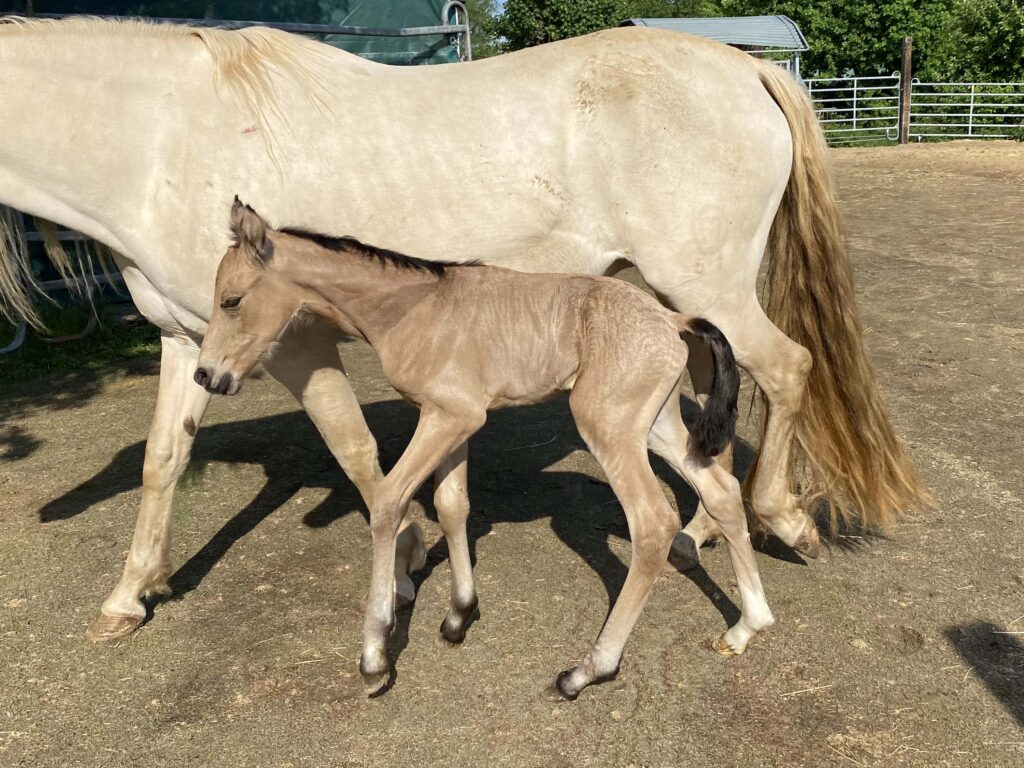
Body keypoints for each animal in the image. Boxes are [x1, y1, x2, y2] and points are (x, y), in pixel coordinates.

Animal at [195, 201, 770, 700]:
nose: (207, 375)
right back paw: (748, 626)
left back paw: (588, 670)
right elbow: (452, 506)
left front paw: (375, 655)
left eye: (231, 300)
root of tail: (672, 320)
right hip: (657, 425)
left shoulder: (449, 417)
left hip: (607, 428)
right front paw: (459, 614)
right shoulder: (455, 421)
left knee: (653, 523)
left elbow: (387, 502)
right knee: (720, 492)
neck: (413, 310)